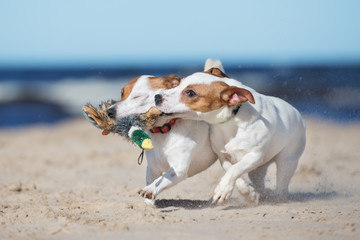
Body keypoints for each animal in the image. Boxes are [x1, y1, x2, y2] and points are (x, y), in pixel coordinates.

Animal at [155, 66, 306, 204]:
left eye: (191, 93)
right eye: (179, 83)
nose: (157, 97)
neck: (232, 120)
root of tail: (296, 112)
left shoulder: (255, 156)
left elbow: (235, 169)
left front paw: (223, 190)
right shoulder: (223, 156)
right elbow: (232, 171)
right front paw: (248, 193)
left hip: (287, 160)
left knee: (282, 184)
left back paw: (277, 197)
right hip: (259, 170)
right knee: (258, 179)